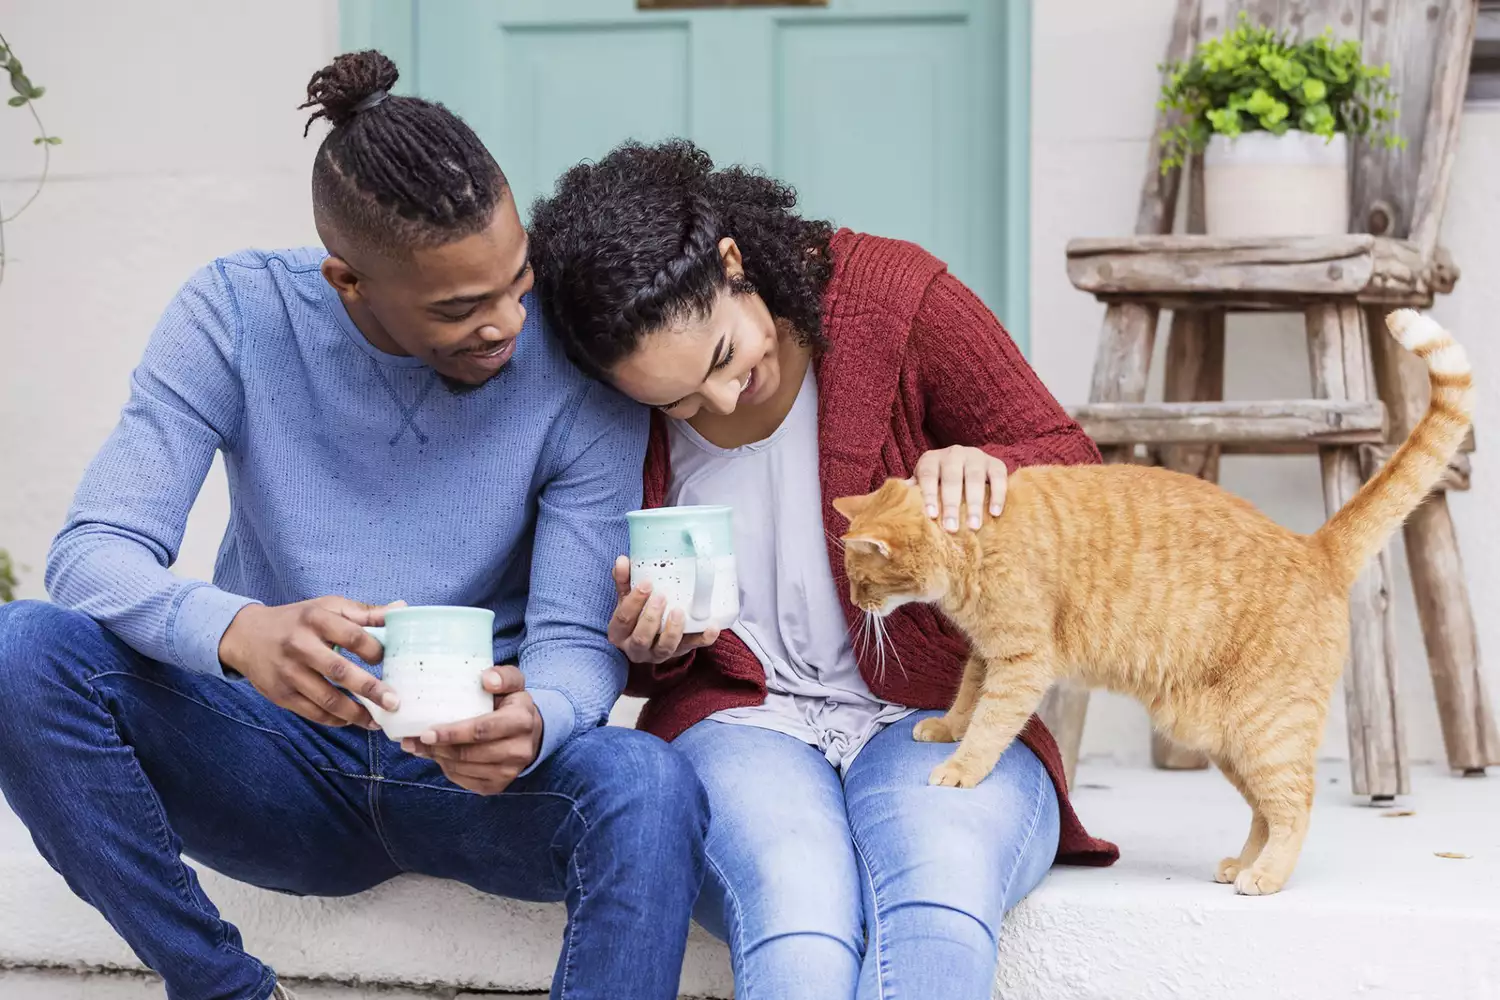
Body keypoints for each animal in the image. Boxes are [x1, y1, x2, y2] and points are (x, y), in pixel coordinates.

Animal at [834, 308, 1476, 893]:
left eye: (861, 580)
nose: (859, 605)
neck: (972, 541)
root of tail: (1313, 546)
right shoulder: (987, 653)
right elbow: (967, 699)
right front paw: (946, 728)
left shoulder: (1020, 662)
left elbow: (990, 724)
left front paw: (960, 766)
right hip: (1228, 742)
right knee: (1264, 811)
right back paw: (1241, 864)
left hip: (1265, 731)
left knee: (1295, 804)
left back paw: (1264, 876)